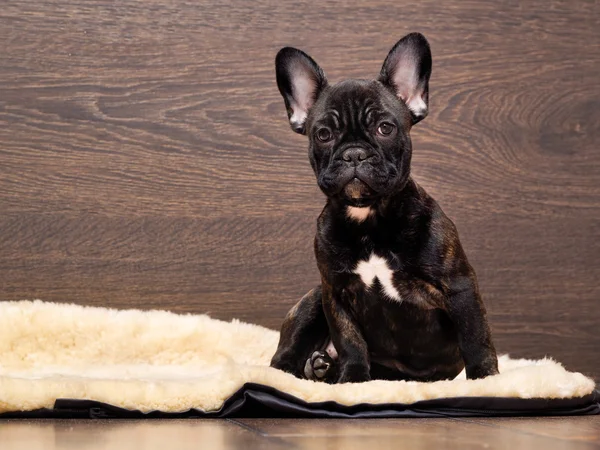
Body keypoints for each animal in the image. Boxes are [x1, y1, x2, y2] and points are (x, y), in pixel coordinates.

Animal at [270, 32, 500, 384]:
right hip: (312, 301)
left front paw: (486, 379)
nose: (353, 153)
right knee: (287, 354)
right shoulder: (334, 293)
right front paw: (353, 380)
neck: (369, 216)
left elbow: (476, 337)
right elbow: (350, 341)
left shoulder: (460, 286)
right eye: (323, 134)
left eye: (385, 129)